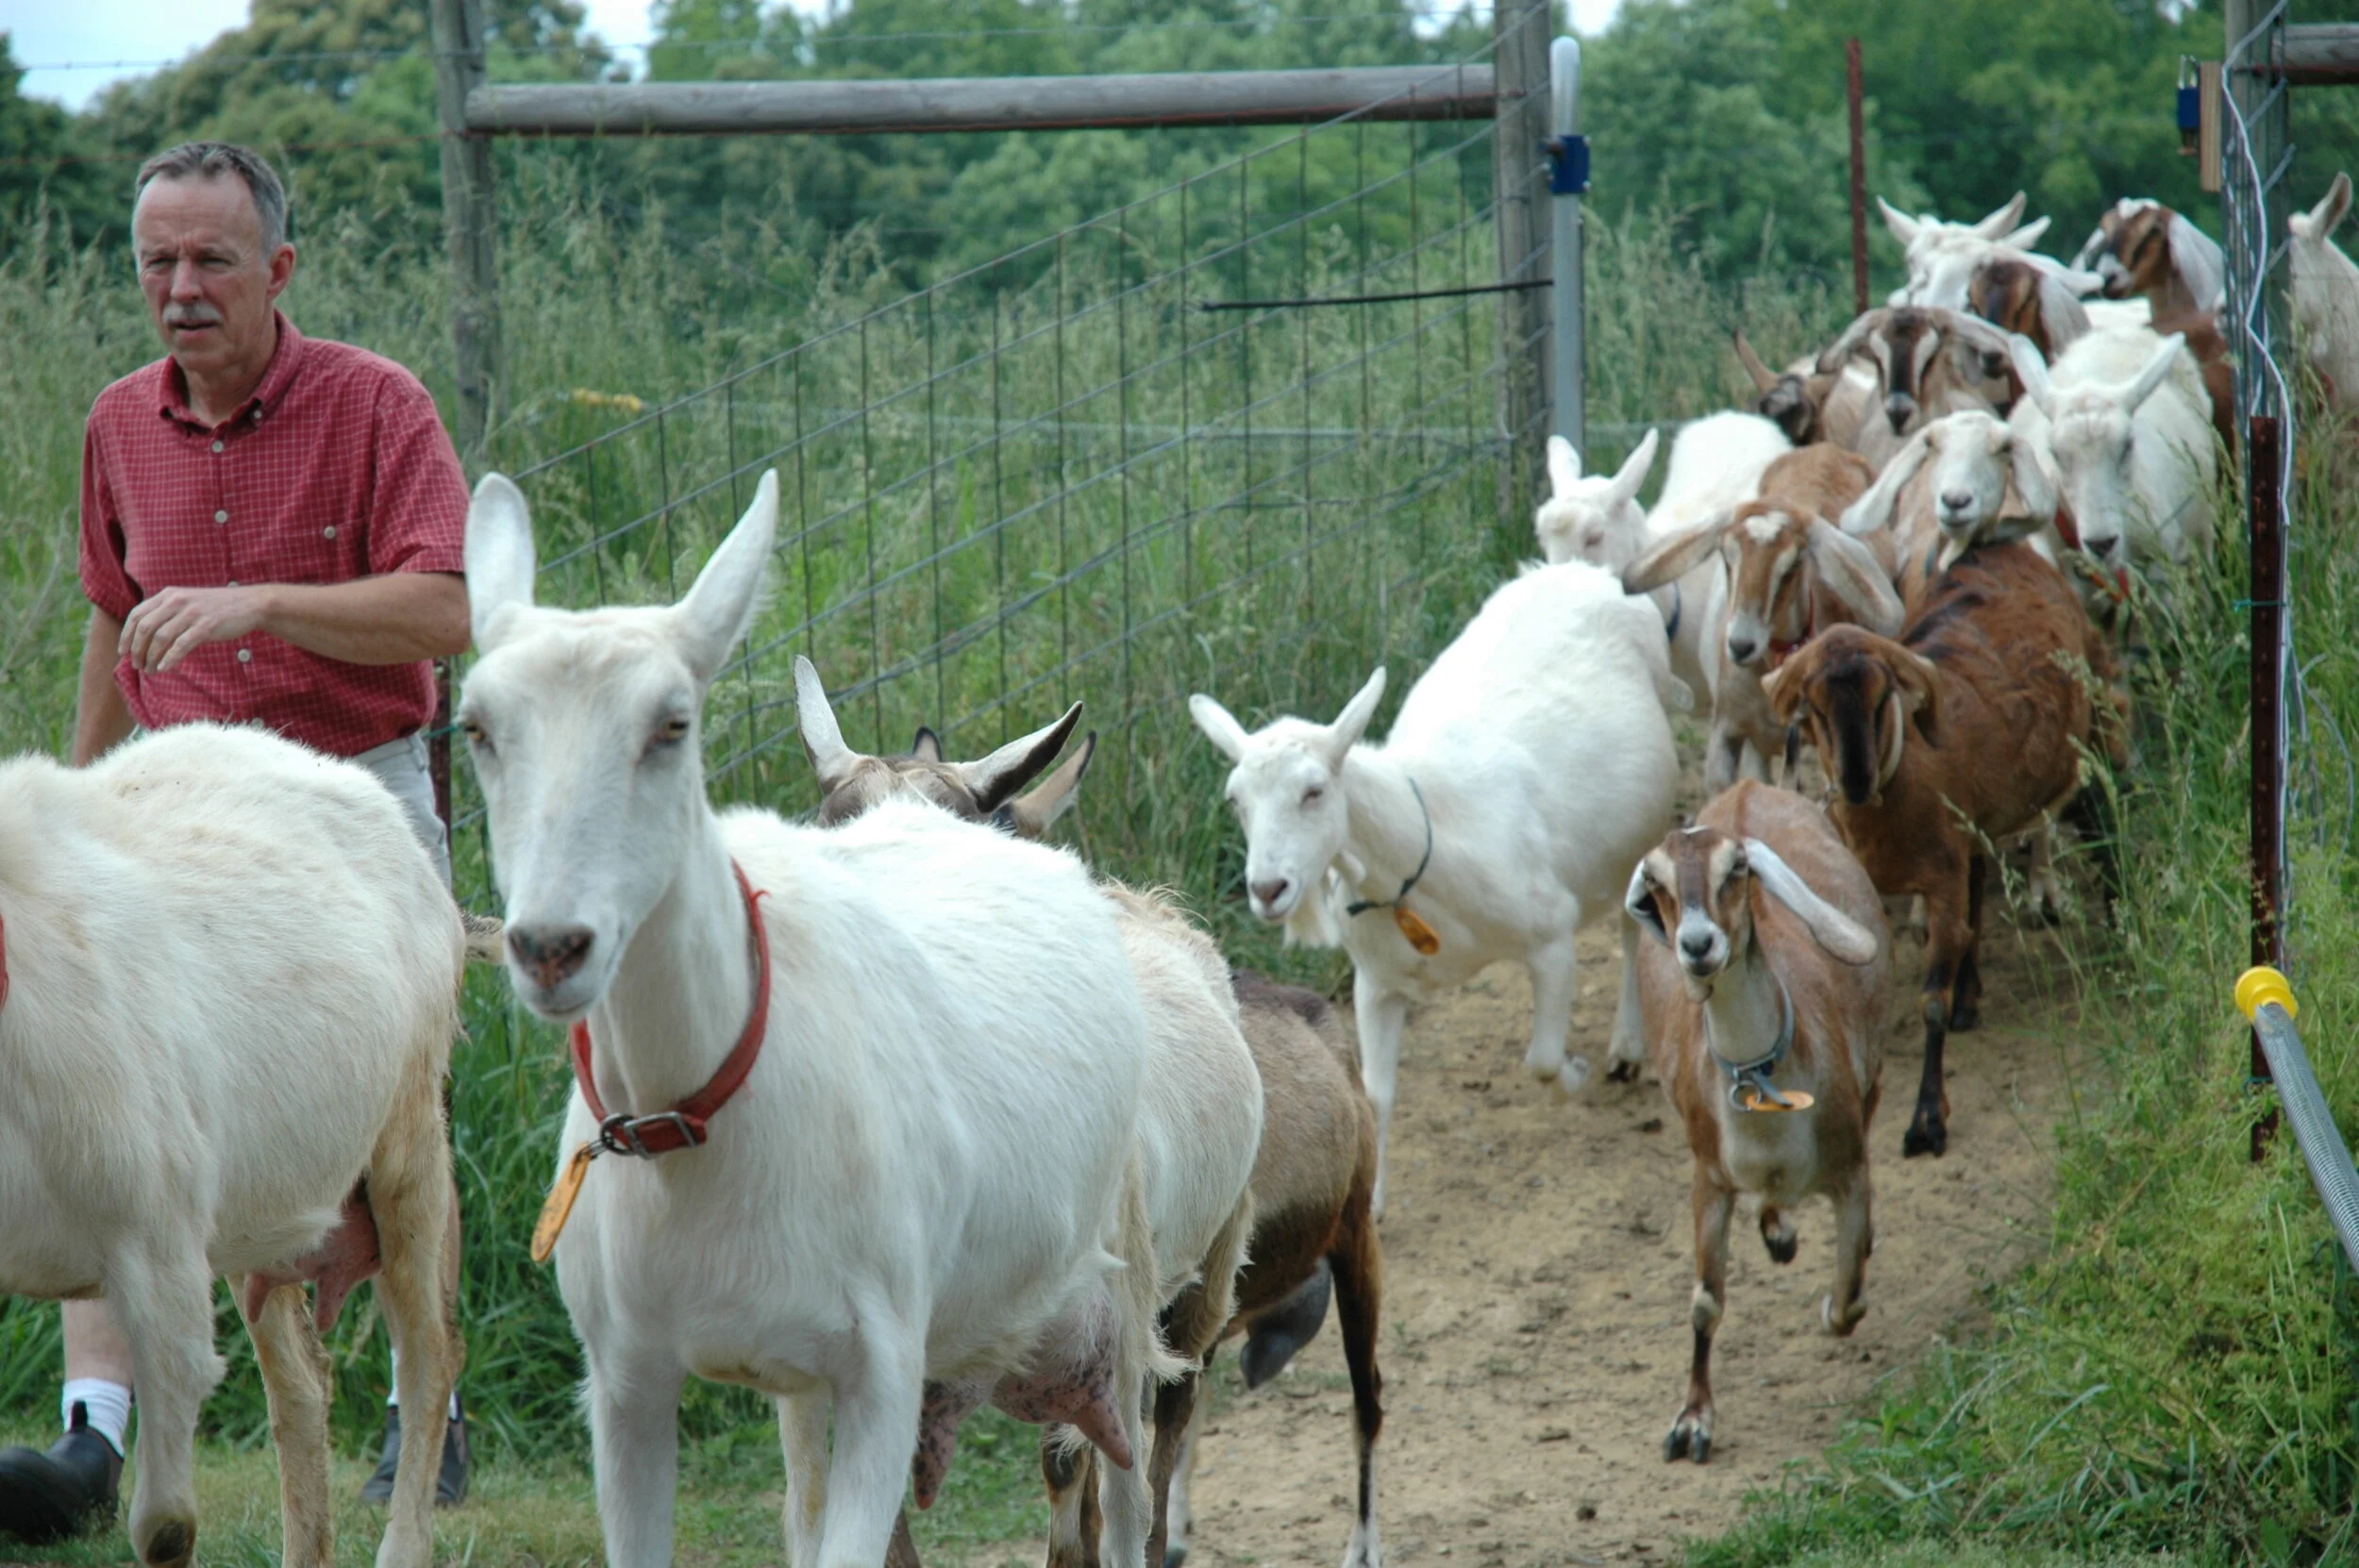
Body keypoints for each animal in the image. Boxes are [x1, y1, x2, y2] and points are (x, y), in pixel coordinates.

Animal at [461, 470, 1172, 1568]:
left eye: (675, 724)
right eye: (476, 728)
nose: (548, 945)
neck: (698, 1121)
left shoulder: (877, 1367)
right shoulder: (630, 1383)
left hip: (1119, 1299)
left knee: (1126, 1491)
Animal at [1190, 558, 1683, 1214]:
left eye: (1314, 791)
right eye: (1235, 800)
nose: (1268, 888)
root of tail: (1580, 569)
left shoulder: (1550, 938)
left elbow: (1542, 1060)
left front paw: (1576, 1075)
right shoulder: (1376, 983)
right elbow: (1376, 1094)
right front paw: (1372, 1200)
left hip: (1643, 829)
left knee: (1632, 926)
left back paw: (1626, 1048)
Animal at [1624, 781, 1887, 1464]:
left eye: (1735, 868)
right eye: (1657, 881)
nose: (1697, 946)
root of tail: (1748, 787)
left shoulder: (1850, 1166)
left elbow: (1849, 1298)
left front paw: (1831, 1303)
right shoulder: (1709, 1176)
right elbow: (1705, 1303)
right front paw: (1692, 1421)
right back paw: (1779, 1231)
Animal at [1764, 543, 2121, 1159]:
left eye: (1881, 698)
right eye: (1814, 709)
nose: (1854, 780)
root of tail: (2002, 547)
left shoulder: (1942, 874)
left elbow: (1929, 999)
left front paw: (1927, 1120)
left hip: (2092, 725)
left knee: (2110, 818)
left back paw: (2121, 935)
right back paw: (1971, 995)